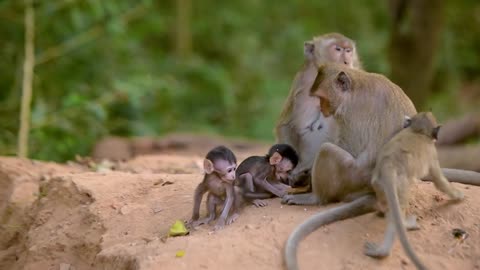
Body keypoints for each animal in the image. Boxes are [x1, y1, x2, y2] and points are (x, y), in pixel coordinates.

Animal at [364, 111, 464, 268]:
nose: (437, 137)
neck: (417, 131)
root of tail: (388, 164)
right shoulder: (432, 152)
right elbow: (439, 182)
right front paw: (458, 195)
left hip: (378, 184)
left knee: (388, 205)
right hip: (400, 184)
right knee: (399, 209)